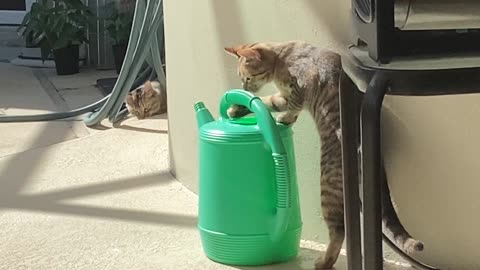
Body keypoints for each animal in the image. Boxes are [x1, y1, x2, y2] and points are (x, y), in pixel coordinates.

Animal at [225, 41, 424, 268]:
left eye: (248, 78)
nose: (244, 88)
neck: (281, 59)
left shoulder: (303, 82)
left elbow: (293, 104)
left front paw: (285, 118)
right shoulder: (282, 96)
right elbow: (267, 100)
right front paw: (237, 108)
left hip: (328, 188)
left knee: (339, 231)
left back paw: (324, 261)